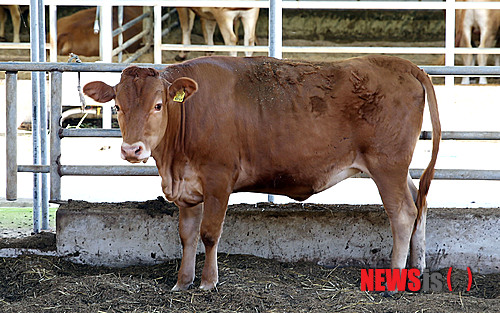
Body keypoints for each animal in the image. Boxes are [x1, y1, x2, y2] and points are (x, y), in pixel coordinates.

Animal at [85, 54, 442, 292]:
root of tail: (401, 64)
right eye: (117, 106)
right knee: (419, 204)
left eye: (158, 105)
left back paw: (394, 281)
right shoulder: (187, 188)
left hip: (387, 165)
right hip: (399, 168)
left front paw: (208, 283)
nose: (132, 150)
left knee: (403, 213)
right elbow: (187, 235)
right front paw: (182, 283)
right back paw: (416, 270)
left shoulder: (218, 179)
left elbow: (209, 233)